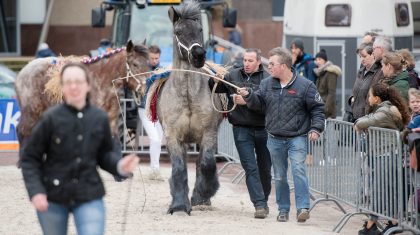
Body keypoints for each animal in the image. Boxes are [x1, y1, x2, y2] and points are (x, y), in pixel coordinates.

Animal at [14, 40, 149, 156]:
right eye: (135, 64)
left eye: (148, 64)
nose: (146, 88)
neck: (101, 80)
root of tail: (23, 71)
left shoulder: (112, 119)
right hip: (31, 112)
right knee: (22, 131)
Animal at [157, 1, 223, 215]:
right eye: (178, 31)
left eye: (200, 30)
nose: (198, 55)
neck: (187, 97)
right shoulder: (173, 136)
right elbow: (179, 168)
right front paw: (178, 205)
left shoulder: (208, 134)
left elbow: (207, 164)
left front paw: (201, 195)